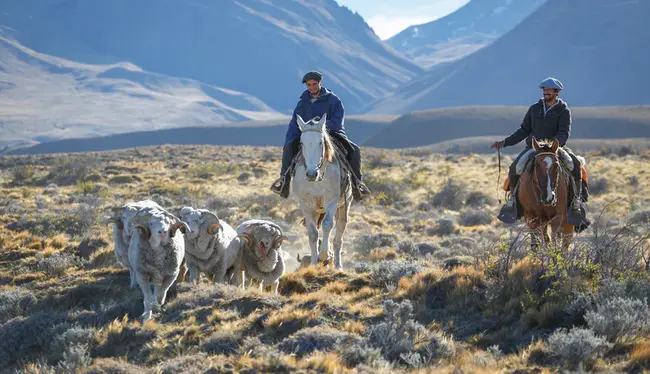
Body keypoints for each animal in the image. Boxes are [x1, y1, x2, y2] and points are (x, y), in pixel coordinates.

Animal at [292, 113, 352, 268]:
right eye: (301, 143)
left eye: (320, 142)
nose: (311, 174)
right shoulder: (306, 204)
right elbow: (313, 233)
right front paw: (314, 262)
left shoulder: (332, 201)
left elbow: (327, 225)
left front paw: (325, 254)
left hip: (344, 205)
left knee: (338, 237)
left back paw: (338, 265)